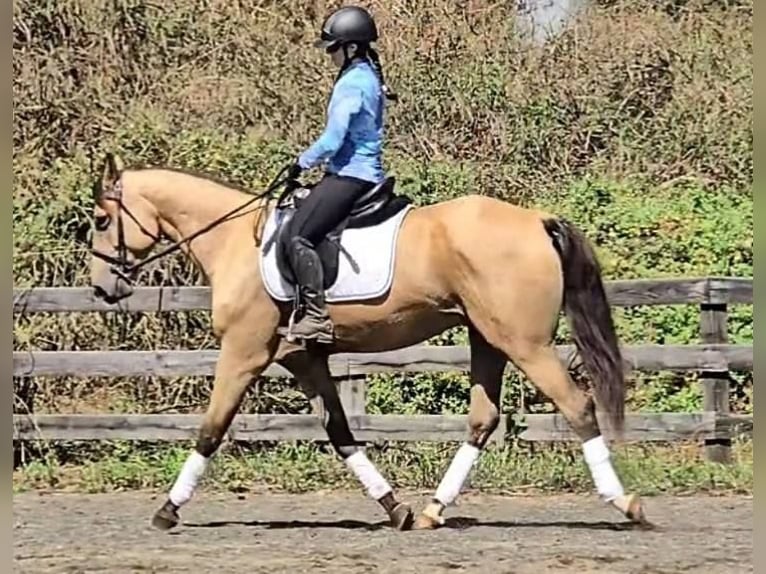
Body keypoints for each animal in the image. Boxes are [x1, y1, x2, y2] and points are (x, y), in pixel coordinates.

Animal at [88, 152, 649, 532]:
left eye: (100, 220)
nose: (102, 288)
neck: (235, 241)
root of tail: (535, 218)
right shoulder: (303, 358)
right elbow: (340, 433)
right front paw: (394, 508)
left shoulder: (244, 353)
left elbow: (211, 429)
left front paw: (167, 510)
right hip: (487, 337)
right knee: (484, 419)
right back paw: (432, 511)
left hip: (524, 342)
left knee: (577, 406)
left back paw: (627, 505)